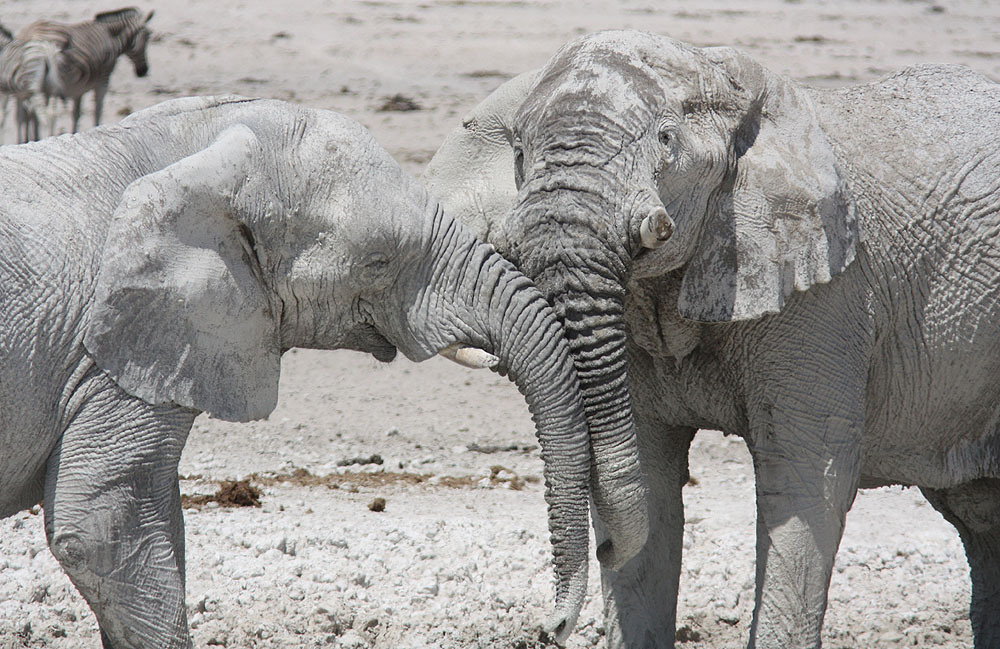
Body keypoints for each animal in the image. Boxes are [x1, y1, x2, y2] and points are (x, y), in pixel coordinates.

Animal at [16, 7, 154, 137]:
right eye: (147, 36)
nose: (144, 71)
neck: (111, 38)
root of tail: (30, 34)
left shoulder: (79, 88)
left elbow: (76, 114)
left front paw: (74, 132)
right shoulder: (103, 79)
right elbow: (98, 109)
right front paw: (97, 127)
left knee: (25, 114)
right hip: (52, 84)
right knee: (46, 113)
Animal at [424, 29, 1000, 648]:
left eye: (666, 140)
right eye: (520, 154)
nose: (551, 626)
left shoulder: (829, 298)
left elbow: (804, 483)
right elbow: (649, 484)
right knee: (980, 518)